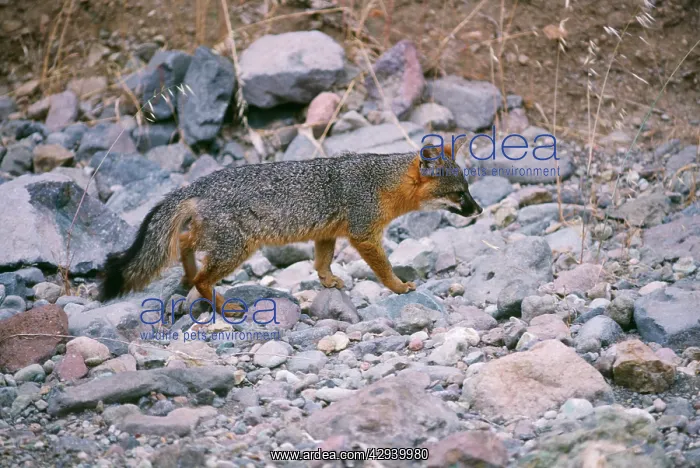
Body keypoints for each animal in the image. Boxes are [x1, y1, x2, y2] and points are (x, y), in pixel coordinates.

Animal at [99, 139, 483, 314]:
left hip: (217, 241)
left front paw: (328, 282)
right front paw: (400, 287)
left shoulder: (327, 233)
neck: (380, 182)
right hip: (235, 248)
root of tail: (197, 185)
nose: (479, 210)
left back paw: (187, 273)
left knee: (186, 243)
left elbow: (321, 262)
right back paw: (222, 305)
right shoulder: (364, 234)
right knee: (202, 279)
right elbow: (384, 268)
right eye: (459, 193)